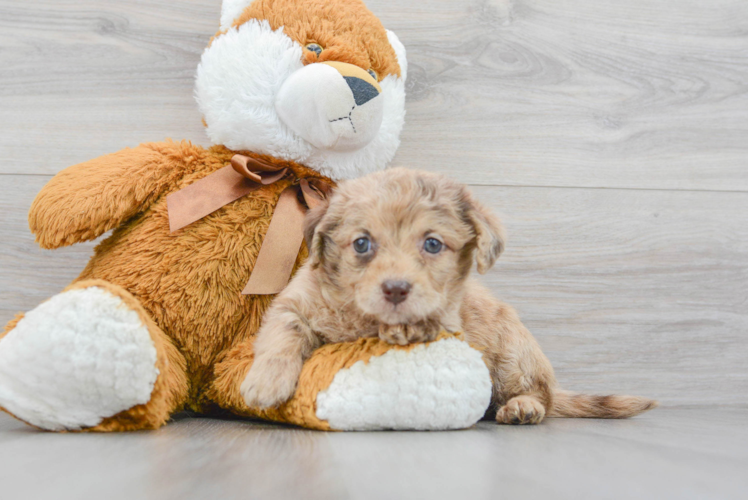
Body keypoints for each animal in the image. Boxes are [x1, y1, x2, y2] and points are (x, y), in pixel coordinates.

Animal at [243, 169, 656, 426]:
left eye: (432, 244)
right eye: (362, 243)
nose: (396, 289)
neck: (363, 316)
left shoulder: (447, 325)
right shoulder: (294, 301)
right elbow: (284, 333)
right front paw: (265, 382)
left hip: (515, 357)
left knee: (540, 396)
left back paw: (522, 407)